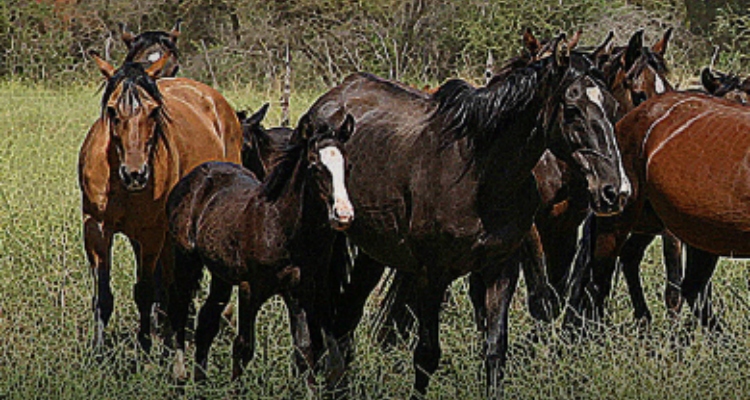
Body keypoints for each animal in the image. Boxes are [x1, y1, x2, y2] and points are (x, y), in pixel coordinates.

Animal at [79, 50, 244, 354]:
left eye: (154, 111)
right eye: (112, 111)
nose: (135, 174)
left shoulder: (151, 233)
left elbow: (144, 291)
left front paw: (144, 347)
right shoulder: (96, 228)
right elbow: (103, 296)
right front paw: (97, 351)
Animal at [169, 114, 356, 382]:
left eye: (347, 166)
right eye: (314, 166)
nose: (343, 215)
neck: (281, 226)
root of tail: (193, 177)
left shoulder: (300, 291)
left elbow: (305, 351)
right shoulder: (250, 289)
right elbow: (243, 347)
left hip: (221, 274)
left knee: (206, 320)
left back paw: (201, 380)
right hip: (185, 259)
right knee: (179, 308)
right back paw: (180, 374)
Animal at [308, 32, 632, 396]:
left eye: (614, 107)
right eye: (573, 110)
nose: (615, 191)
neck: (479, 175)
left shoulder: (499, 269)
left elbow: (494, 349)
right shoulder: (431, 274)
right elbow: (426, 354)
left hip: (373, 252)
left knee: (346, 318)